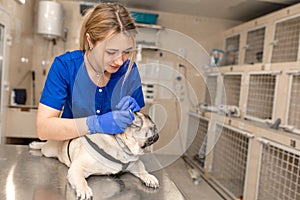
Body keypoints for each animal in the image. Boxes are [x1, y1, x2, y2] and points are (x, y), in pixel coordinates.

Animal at [29, 111, 159, 199]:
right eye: (145, 118)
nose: (152, 120)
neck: (119, 145)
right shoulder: (77, 168)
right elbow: (81, 180)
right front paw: (84, 189)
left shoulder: (135, 163)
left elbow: (142, 170)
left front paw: (149, 178)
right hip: (49, 150)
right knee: (43, 146)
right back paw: (35, 144)